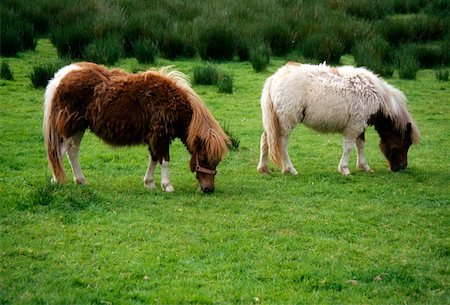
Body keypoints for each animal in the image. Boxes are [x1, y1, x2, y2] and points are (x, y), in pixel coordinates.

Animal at [44, 61, 230, 192]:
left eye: (217, 162)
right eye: (204, 159)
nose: (208, 189)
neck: (171, 99)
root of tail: (61, 76)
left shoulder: (155, 137)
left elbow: (153, 158)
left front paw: (149, 183)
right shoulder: (161, 135)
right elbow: (164, 160)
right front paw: (167, 185)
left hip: (79, 128)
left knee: (72, 152)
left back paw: (81, 180)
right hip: (69, 129)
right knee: (59, 153)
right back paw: (57, 180)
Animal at [258, 61, 420, 176]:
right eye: (404, 143)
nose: (401, 168)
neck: (375, 96)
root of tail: (274, 78)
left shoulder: (360, 125)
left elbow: (360, 145)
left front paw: (364, 166)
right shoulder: (354, 126)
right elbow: (349, 147)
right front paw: (344, 169)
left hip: (275, 123)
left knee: (266, 139)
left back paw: (264, 168)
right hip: (286, 121)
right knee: (282, 144)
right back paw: (290, 169)